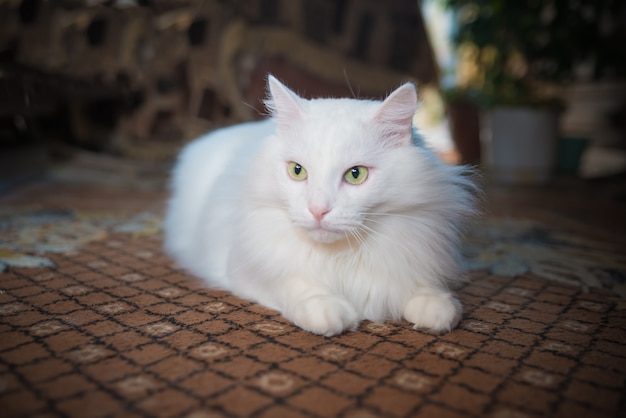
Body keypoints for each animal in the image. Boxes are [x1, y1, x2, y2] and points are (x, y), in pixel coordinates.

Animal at [163, 75, 476, 336]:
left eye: (356, 174)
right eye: (297, 171)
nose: (318, 210)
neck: (341, 257)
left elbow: (418, 287)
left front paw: (436, 306)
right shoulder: (247, 269)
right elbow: (295, 283)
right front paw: (326, 309)